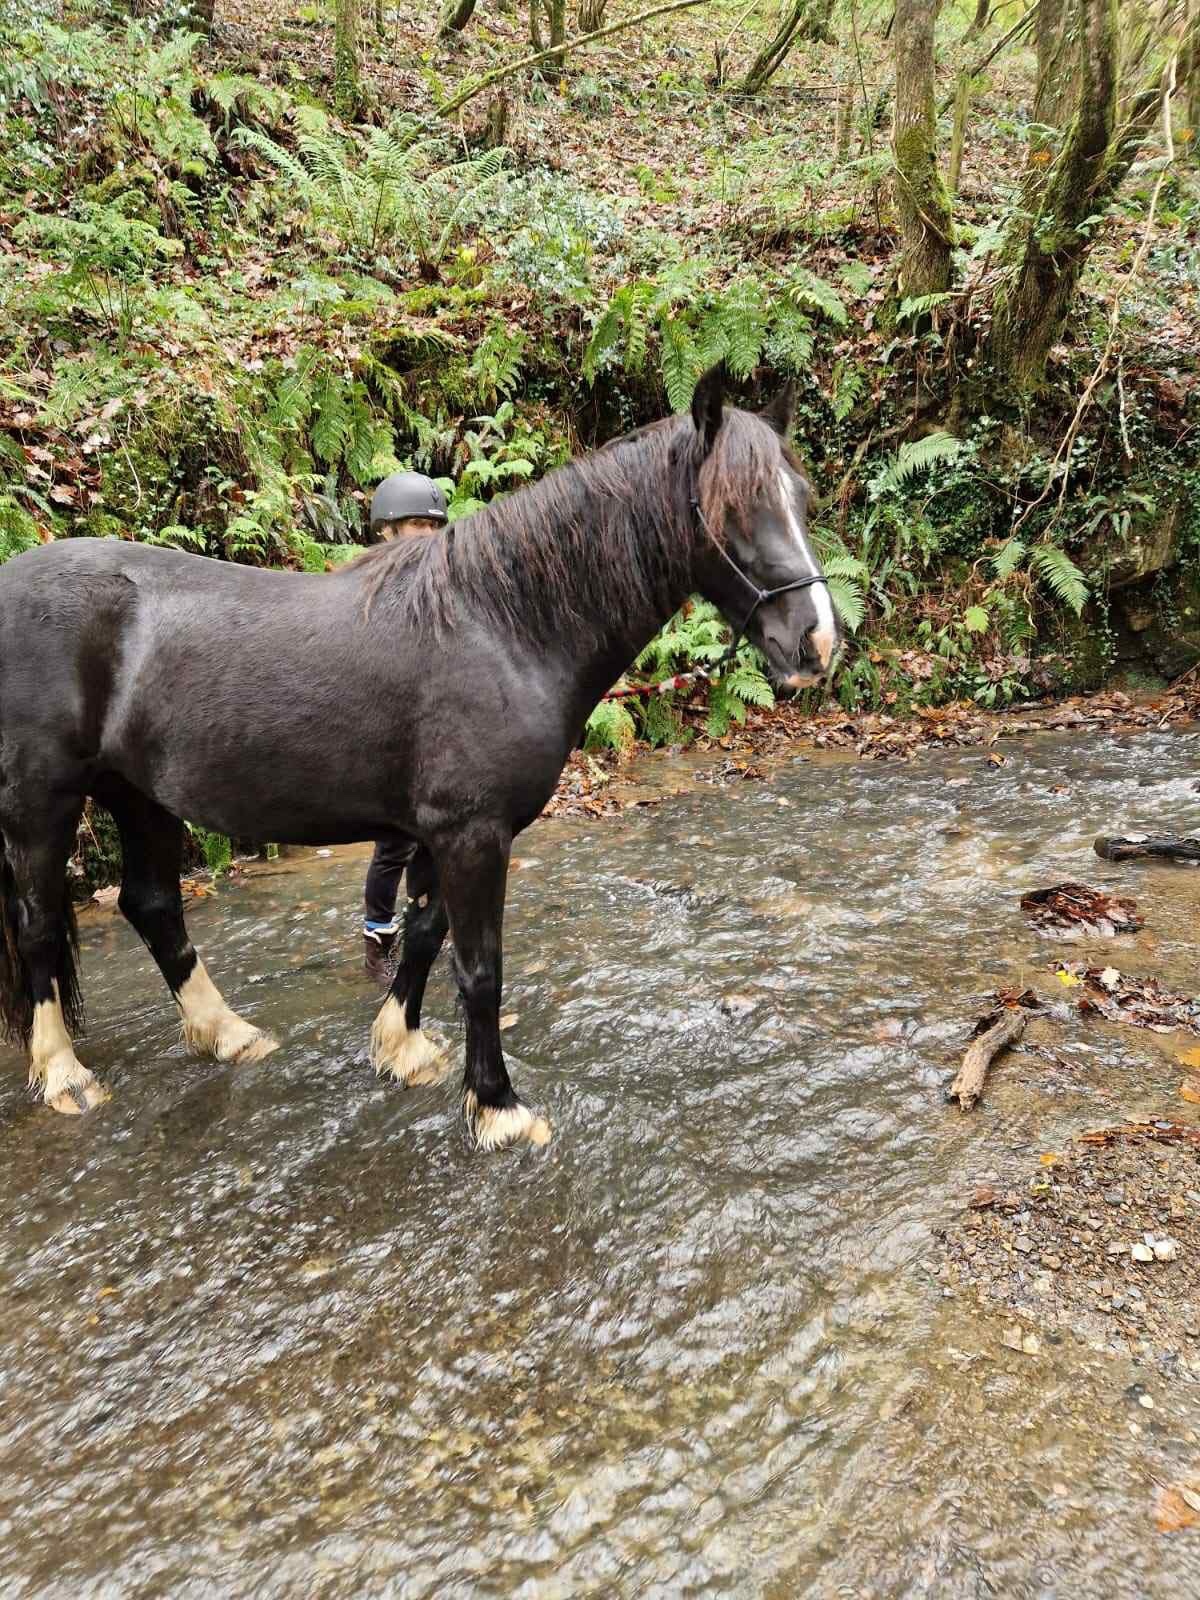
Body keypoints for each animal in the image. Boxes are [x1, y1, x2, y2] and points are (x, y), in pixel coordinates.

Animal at [0, 368, 839, 1150]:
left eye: (800, 498)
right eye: (734, 507)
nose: (818, 642)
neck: (500, 625)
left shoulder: (441, 832)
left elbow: (427, 935)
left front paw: (401, 1048)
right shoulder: (473, 834)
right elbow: (480, 969)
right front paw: (497, 1106)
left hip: (139, 794)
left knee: (151, 906)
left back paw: (229, 1033)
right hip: (44, 802)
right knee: (37, 924)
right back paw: (66, 1075)